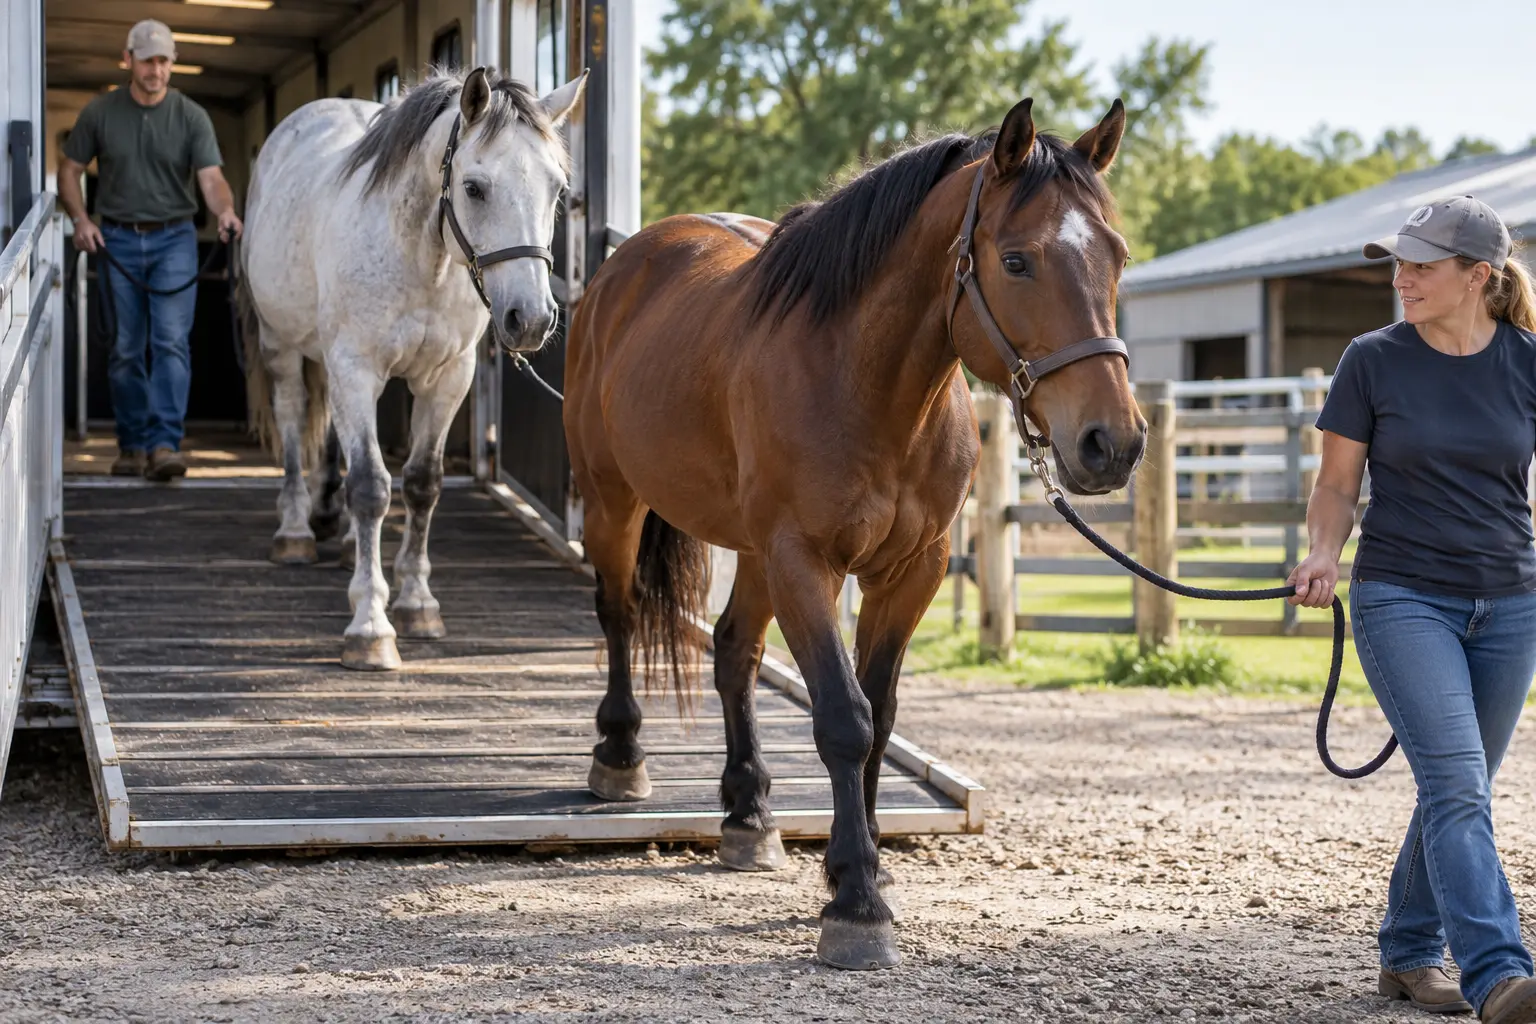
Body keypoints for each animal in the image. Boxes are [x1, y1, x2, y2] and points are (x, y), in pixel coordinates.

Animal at [236, 66, 585, 670]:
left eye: (557, 189)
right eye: (474, 187)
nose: (531, 319)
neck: (426, 260)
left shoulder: (447, 378)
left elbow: (422, 484)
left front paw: (417, 602)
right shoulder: (355, 366)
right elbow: (372, 487)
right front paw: (370, 625)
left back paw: (343, 538)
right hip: (282, 347)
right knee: (292, 420)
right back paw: (296, 530)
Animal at [564, 95, 1146, 969]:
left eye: (1117, 255)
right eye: (1016, 261)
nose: (1112, 443)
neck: (864, 382)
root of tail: (620, 272)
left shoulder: (911, 570)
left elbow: (882, 715)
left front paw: (860, 862)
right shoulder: (805, 562)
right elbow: (844, 719)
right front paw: (857, 902)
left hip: (750, 548)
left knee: (734, 651)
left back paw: (748, 814)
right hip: (616, 502)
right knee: (621, 614)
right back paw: (621, 757)